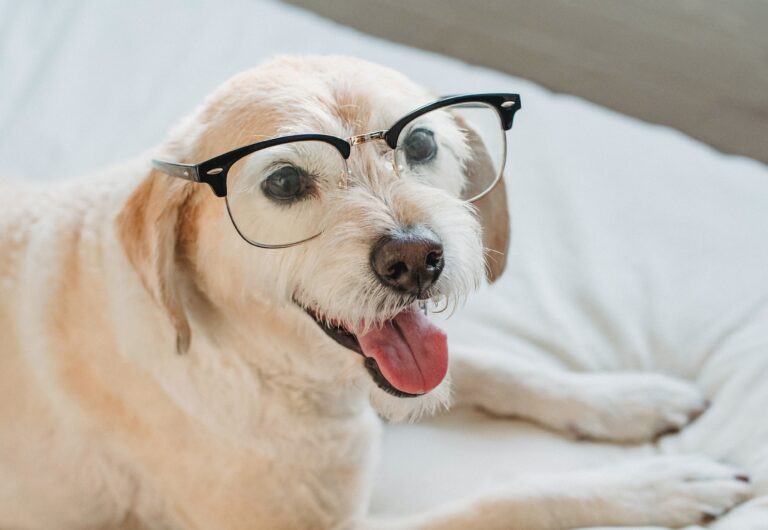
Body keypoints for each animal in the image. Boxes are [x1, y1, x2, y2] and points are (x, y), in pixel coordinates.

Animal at [0, 55, 752, 524]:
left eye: (419, 144)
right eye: (283, 181)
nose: (416, 260)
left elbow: (496, 367)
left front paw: (627, 398)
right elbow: (506, 502)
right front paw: (654, 486)